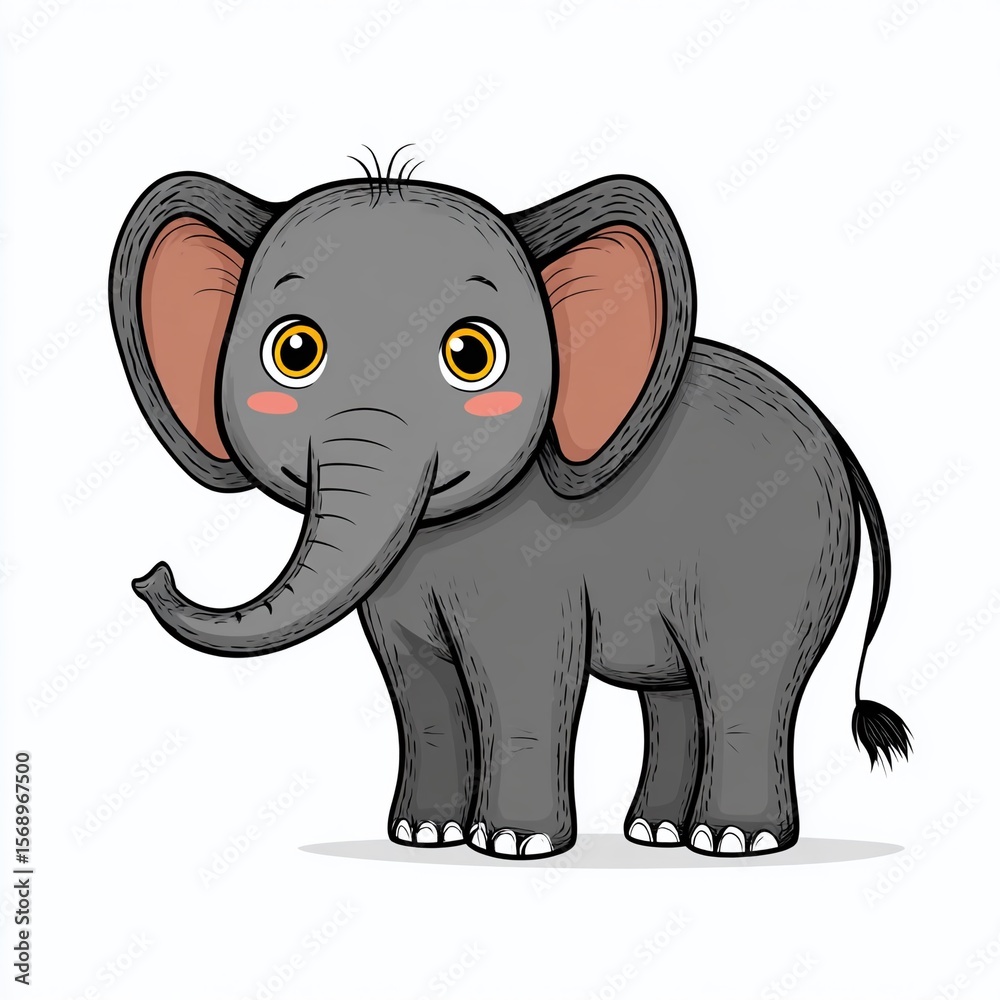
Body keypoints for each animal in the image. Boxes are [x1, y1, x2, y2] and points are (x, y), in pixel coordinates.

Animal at [109, 160, 911, 860]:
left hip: (778, 560)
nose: (150, 573)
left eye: (472, 355)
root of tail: (838, 439)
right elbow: (416, 684)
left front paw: (512, 847)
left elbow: (519, 674)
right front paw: (423, 838)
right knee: (677, 695)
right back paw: (653, 834)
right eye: (294, 351)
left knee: (741, 686)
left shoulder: (529, 564)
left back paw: (734, 842)